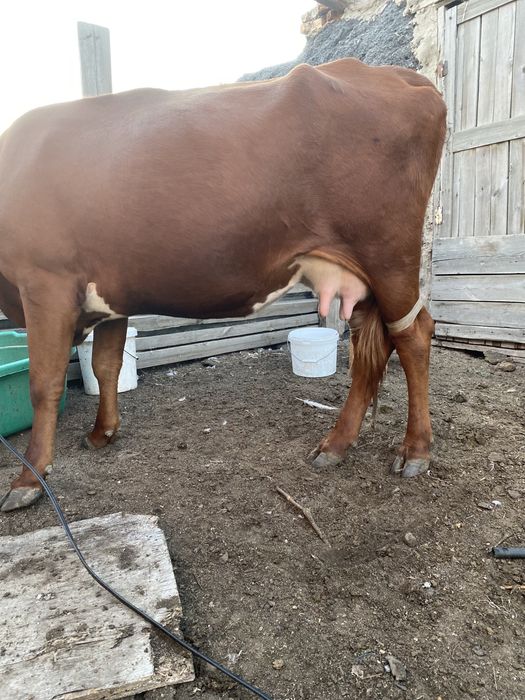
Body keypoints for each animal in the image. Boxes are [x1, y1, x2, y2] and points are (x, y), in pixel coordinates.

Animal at [0, 58, 446, 512]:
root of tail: (394, 74)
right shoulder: (111, 295)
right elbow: (105, 365)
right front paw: (101, 433)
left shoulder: (45, 281)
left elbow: (45, 383)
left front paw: (29, 478)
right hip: (359, 277)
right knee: (371, 346)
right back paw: (336, 445)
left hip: (389, 258)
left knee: (413, 335)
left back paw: (416, 450)